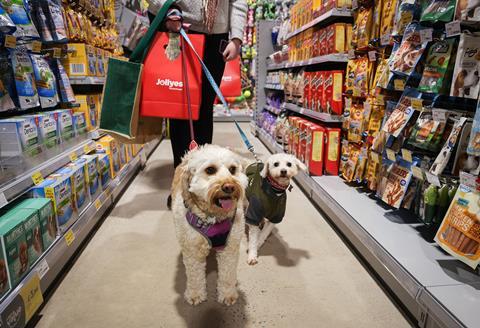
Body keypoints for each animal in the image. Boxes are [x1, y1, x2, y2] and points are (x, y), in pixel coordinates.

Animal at [171, 145, 248, 306]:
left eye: (232, 169)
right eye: (210, 170)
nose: (230, 186)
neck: (214, 217)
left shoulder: (229, 249)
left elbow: (227, 274)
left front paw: (227, 294)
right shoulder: (193, 251)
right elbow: (194, 276)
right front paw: (195, 294)